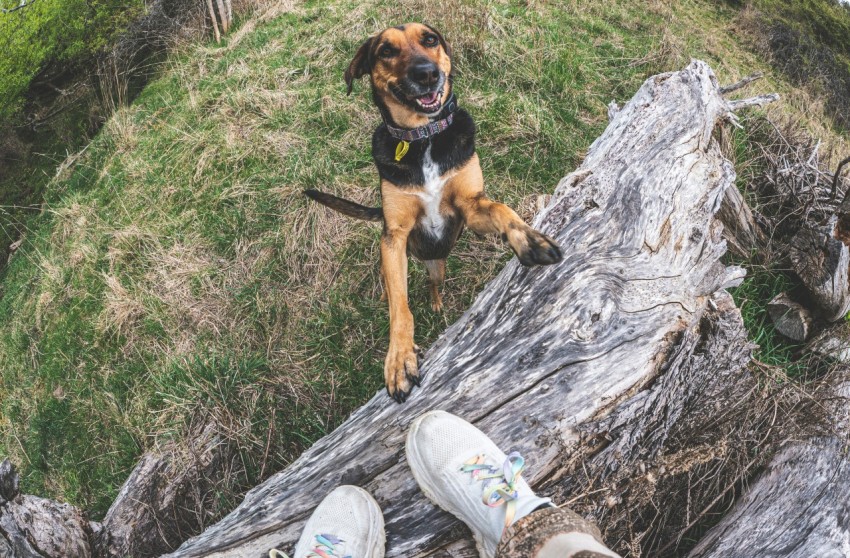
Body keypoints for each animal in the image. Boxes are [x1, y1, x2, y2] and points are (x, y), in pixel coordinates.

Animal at [304, 24, 564, 404]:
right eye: (386, 50)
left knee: (433, 283)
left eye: (429, 39)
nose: (427, 74)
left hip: (438, 265)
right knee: (394, 285)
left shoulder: (471, 207)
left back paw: (438, 303)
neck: (420, 136)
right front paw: (399, 358)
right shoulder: (394, 234)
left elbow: (500, 208)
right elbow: (401, 307)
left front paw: (528, 238)